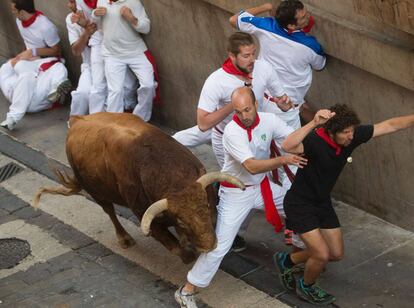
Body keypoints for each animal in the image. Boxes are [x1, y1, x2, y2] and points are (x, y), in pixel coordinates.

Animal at [34, 112, 246, 262]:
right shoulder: (146, 218)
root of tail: (78, 120)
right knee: (110, 211)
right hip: (97, 192)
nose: (209, 245)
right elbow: (179, 250)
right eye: (182, 220)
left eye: (207, 207)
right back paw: (124, 239)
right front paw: (188, 251)